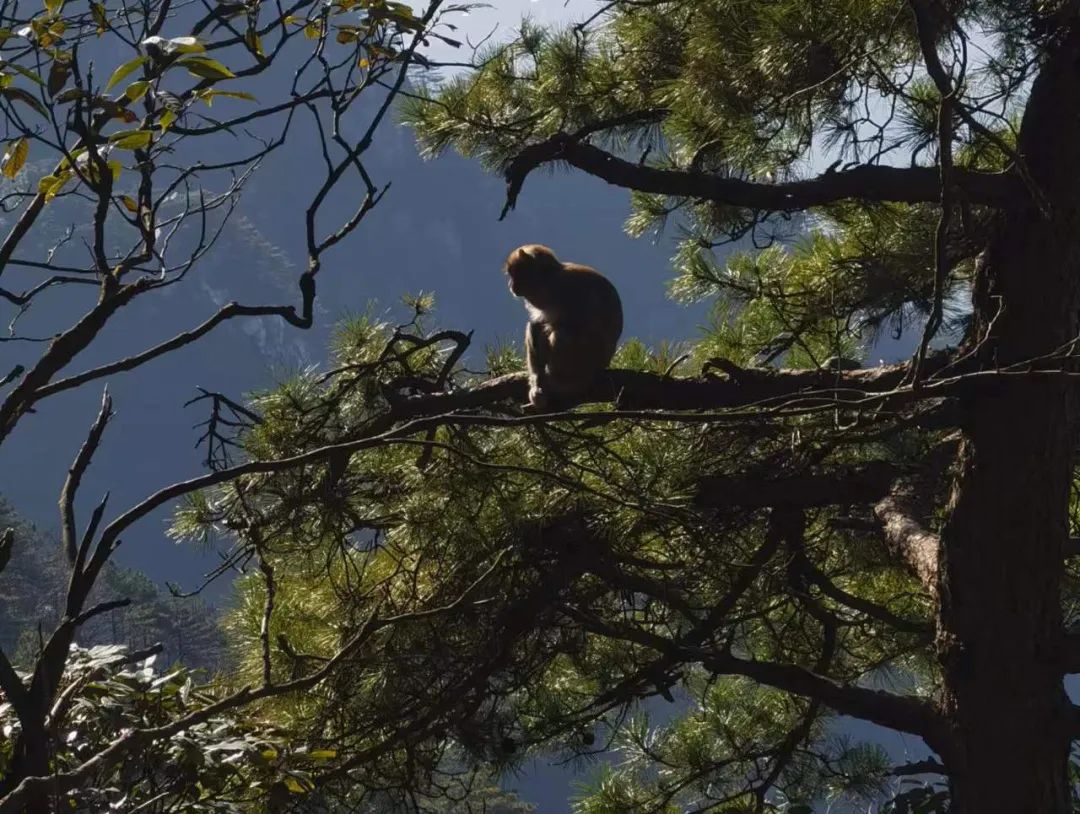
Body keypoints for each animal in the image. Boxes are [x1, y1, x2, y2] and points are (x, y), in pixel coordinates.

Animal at [501, 240, 622, 405]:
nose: (510, 285)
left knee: (563, 333)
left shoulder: (564, 289)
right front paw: (537, 383)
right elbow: (538, 325)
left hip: (590, 359)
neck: (549, 279)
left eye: (514, 273)